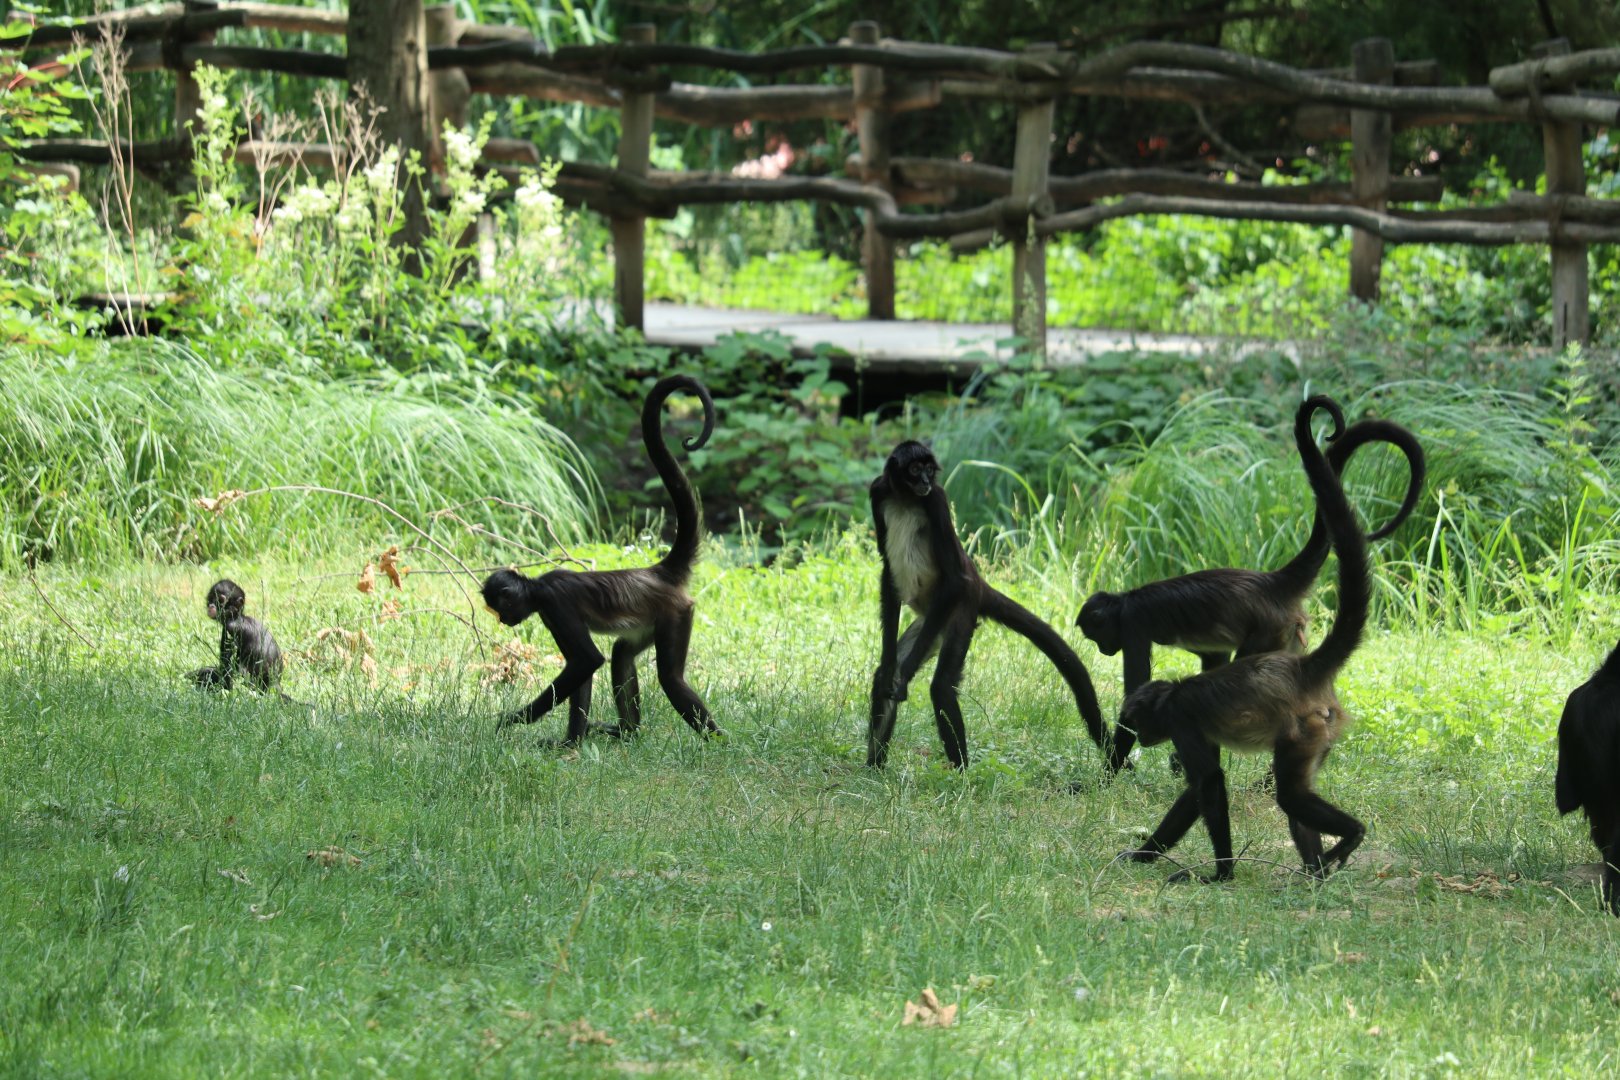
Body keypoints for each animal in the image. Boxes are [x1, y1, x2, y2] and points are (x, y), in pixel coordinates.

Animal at [482, 374, 719, 745]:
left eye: (500, 608)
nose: (504, 622)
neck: (536, 587)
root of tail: (657, 572)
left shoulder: (554, 601)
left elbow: (585, 661)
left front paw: (515, 721)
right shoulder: (549, 612)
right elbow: (585, 667)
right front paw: (571, 743)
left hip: (676, 611)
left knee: (670, 678)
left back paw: (720, 742)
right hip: (650, 620)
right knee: (622, 654)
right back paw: (627, 732)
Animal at [867, 439, 1112, 771]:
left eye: (930, 469)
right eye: (916, 469)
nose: (926, 481)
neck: (906, 498)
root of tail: (978, 581)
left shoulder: (936, 501)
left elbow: (953, 577)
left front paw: (903, 675)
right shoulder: (879, 491)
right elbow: (887, 572)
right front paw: (892, 665)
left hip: (958, 609)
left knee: (942, 687)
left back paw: (960, 775)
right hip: (931, 623)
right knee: (889, 676)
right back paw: (873, 769)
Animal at [1079, 414, 1424, 772]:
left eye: (1097, 636)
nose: (1104, 650)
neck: (1125, 599)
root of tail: (1272, 581)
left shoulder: (1132, 623)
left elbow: (1137, 689)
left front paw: (1111, 768)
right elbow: (1212, 659)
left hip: (1269, 630)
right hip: (1289, 634)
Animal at [1114, 394, 1368, 882]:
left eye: (1135, 722)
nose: (1142, 739)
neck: (1171, 695)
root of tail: (1303, 668)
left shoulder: (1180, 718)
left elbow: (1209, 783)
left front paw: (1221, 874)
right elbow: (1195, 791)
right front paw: (1145, 854)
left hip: (1304, 725)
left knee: (1290, 796)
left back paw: (1353, 834)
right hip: (1320, 727)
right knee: (1294, 794)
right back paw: (1314, 874)